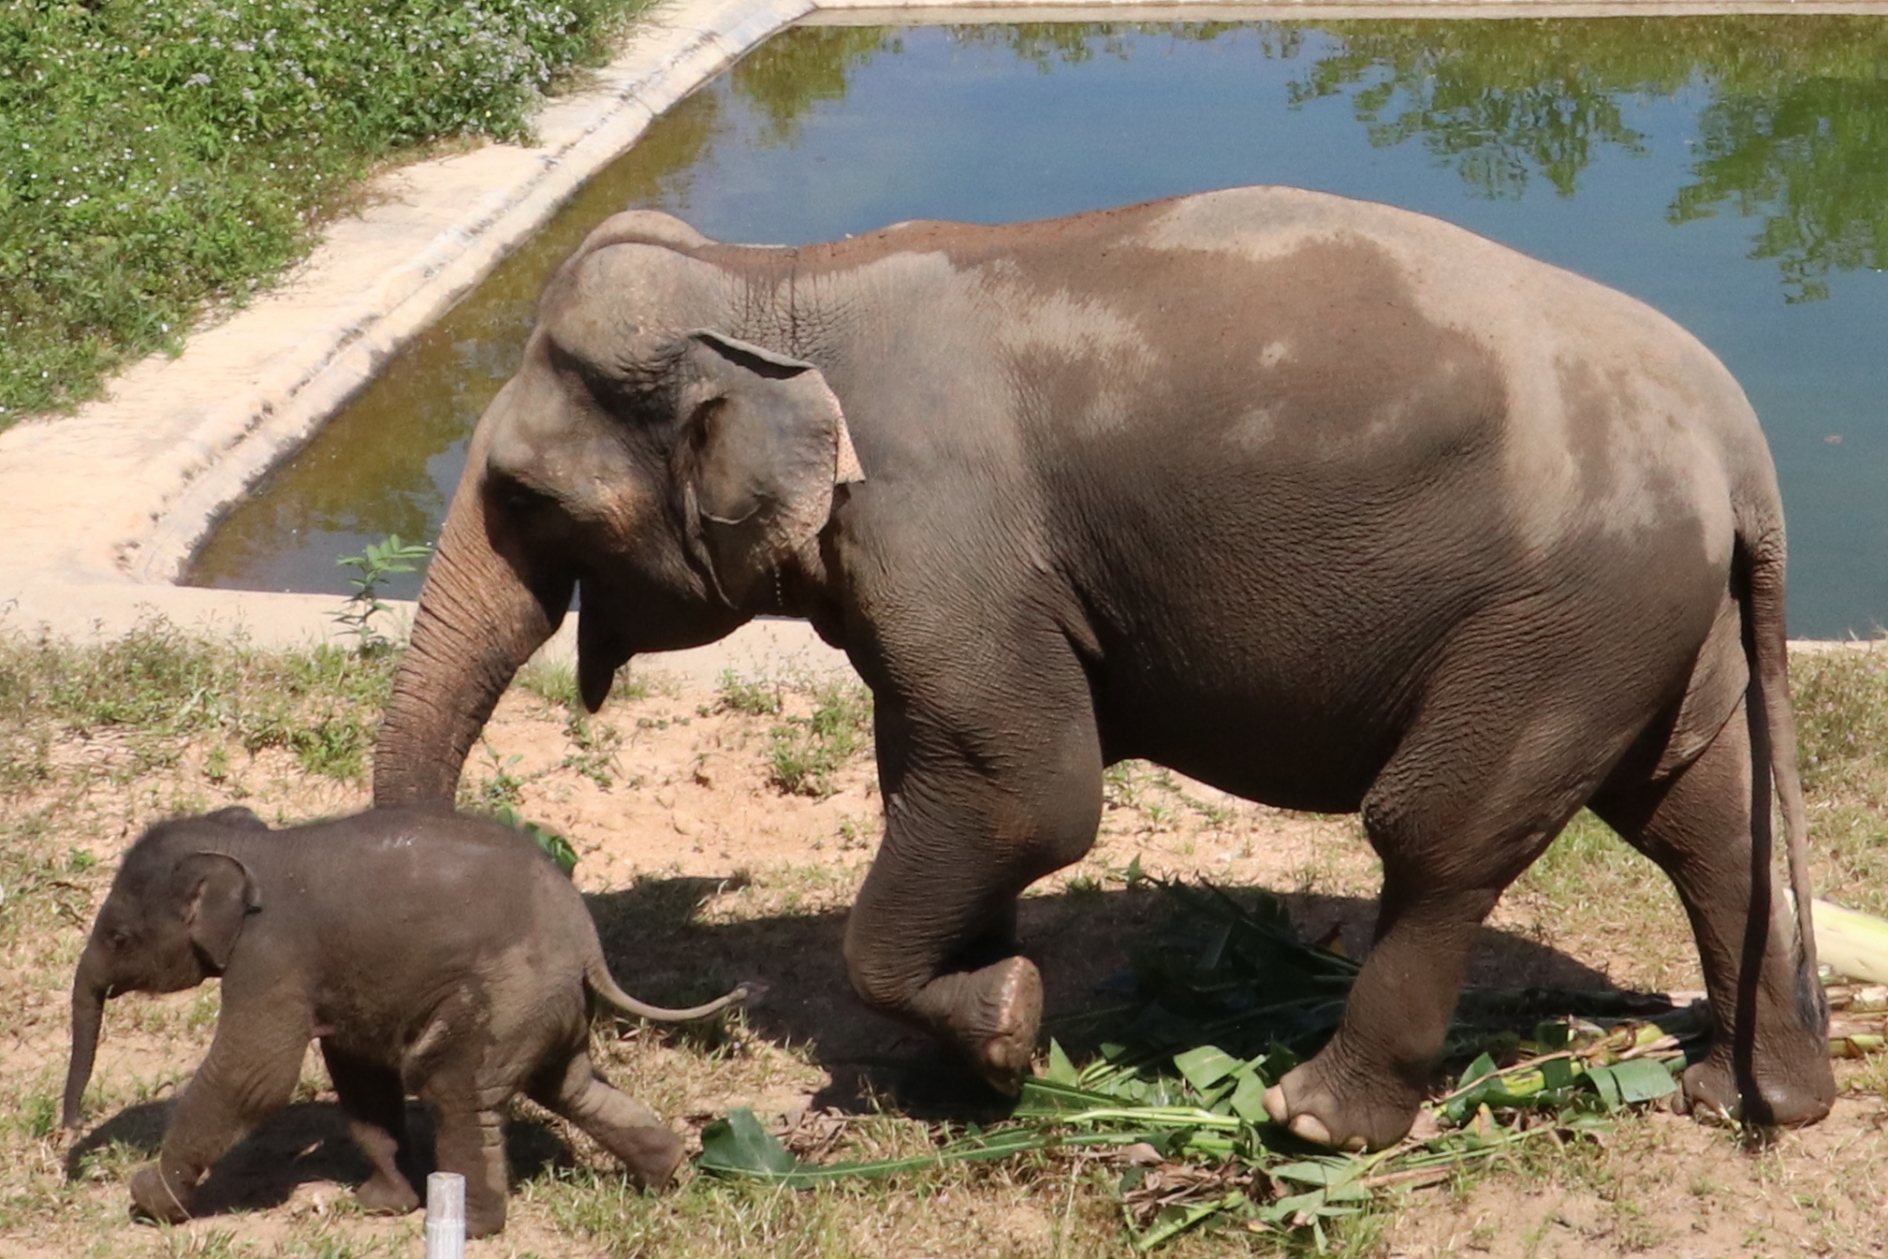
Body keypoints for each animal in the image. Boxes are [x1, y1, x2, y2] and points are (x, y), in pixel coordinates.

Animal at [60, 804, 736, 1238]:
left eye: (119, 938)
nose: (68, 1135)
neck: (251, 847)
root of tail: (588, 943)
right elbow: (356, 1072)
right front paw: (381, 1204)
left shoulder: (271, 956)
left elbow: (252, 1077)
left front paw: (149, 1200)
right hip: (545, 1006)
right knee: (568, 1084)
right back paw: (665, 1173)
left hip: (506, 993)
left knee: (455, 1085)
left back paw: (470, 1226)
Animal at [375, 184, 1835, 1155]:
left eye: (525, 495)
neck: (773, 279)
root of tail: (1738, 439)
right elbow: (946, 775)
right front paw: (972, 1054)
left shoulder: (940, 530)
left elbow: (1030, 794)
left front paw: (1010, 1024)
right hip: (1646, 618)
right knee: (1701, 814)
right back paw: (1751, 1097)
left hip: (1560, 616)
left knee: (1441, 834)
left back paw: (1315, 1120)